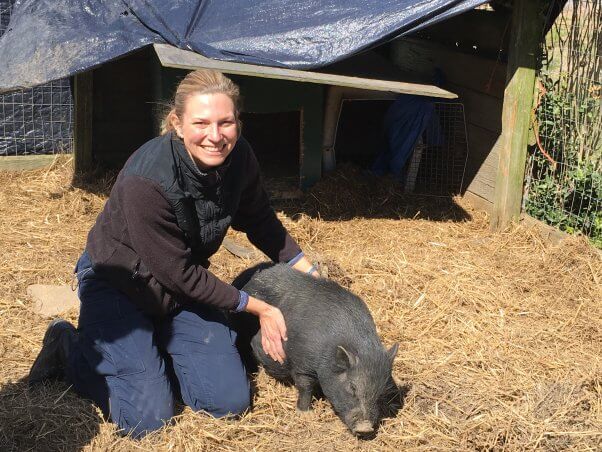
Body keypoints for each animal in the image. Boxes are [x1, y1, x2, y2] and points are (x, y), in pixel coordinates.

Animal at [232, 264, 400, 436]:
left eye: (381, 392)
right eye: (352, 387)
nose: (365, 429)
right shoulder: (301, 363)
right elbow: (305, 387)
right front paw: (305, 414)